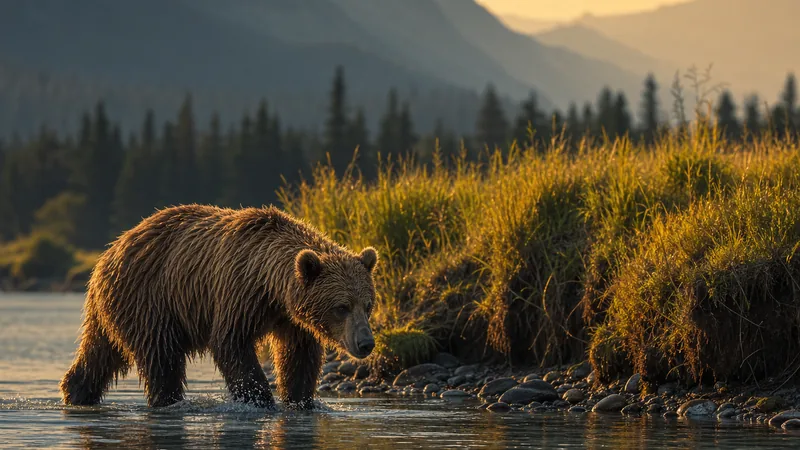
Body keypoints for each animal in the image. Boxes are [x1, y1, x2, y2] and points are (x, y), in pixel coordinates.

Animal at [59, 204, 379, 410]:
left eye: (368, 305)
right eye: (342, 306)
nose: (365, 343)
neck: (272, 288)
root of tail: (109, 252)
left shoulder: (292, 319)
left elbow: (299, 356)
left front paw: (300, 400)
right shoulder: (238, 292)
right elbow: (231, 344)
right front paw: (260, 399)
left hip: (114, 308)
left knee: (99, 352)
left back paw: (76, 391)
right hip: (149, 299)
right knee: (161, 360)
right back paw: (168, 401)